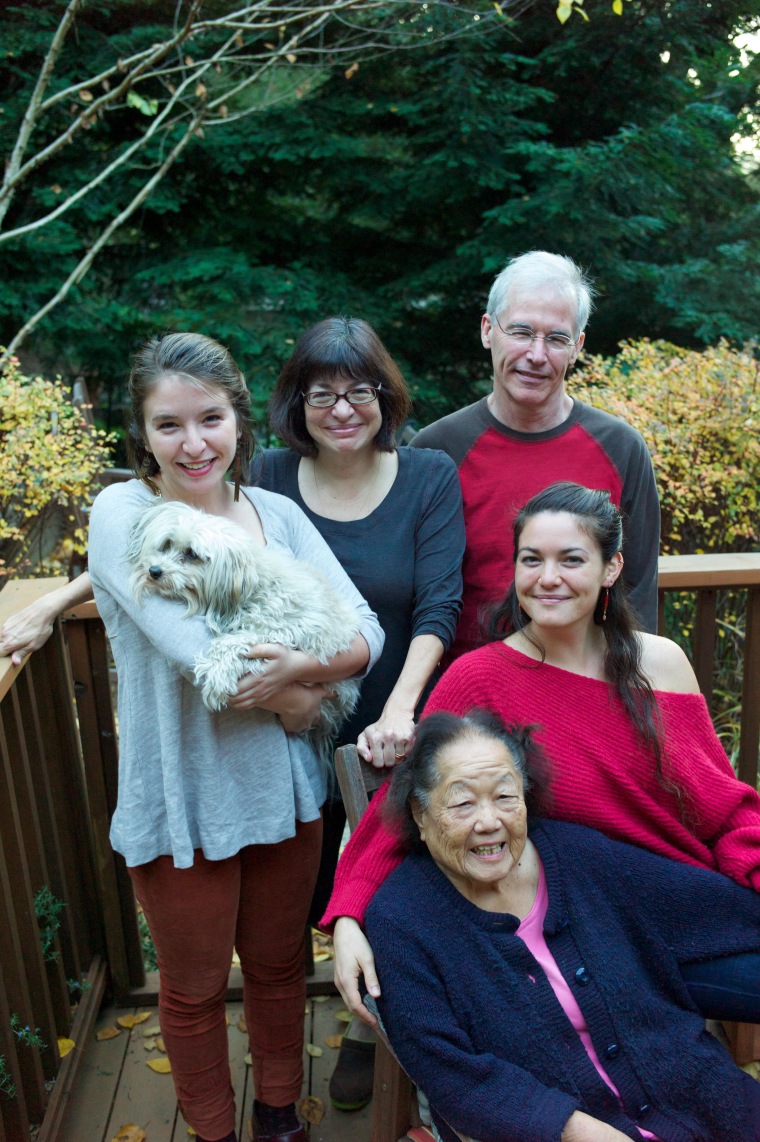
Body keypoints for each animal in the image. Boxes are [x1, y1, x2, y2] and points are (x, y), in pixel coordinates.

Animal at [125, 500, 361, 749]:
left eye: (191, 554)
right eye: (168, 543)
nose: (154, 571)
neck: (253, 585)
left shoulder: (285, 627)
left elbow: (233, 641)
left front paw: (218, 675)